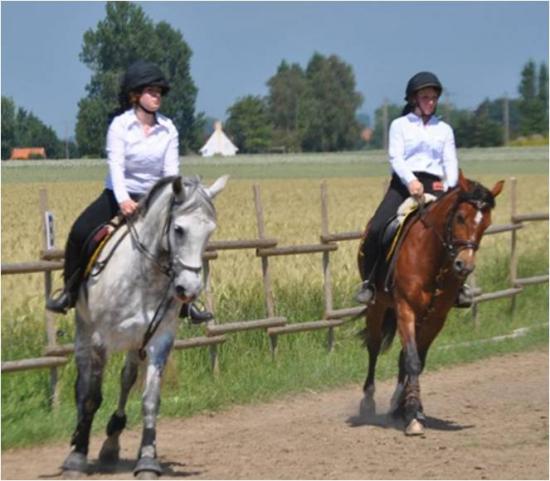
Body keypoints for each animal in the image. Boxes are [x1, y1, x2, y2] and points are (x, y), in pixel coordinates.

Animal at [62, 174, 229, 478]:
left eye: (210, 231)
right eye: (178, 229)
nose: (189, 289)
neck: (144, 275)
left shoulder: (159, 339)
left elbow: (150, 400)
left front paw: (148, 461)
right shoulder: (100, 340)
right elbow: (92, 396)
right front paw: (77, 458)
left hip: (135, 340)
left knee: (126, 377)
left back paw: (111, 443)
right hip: (83, 330)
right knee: (83, 383)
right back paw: (79, 437)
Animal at [360, 172, 506, 436]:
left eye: (486, 224)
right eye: (460, 217)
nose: (464, 265)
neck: (432, 257)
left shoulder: (437, 317)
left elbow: (416, 360)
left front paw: (412, 410)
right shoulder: (405, 309)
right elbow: (412, 360)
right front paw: (412, 418)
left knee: (400, 356)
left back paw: (396, 405)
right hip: (377, 307)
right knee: (374, 347)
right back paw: (368, 401)